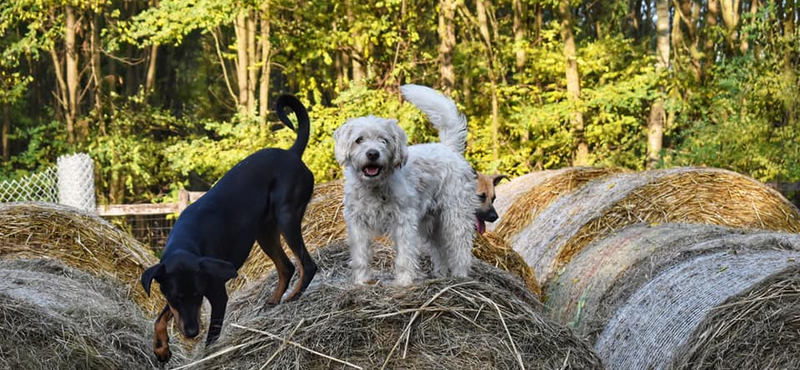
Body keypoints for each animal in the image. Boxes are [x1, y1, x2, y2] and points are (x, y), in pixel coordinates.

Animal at [142, 94, 318, 362]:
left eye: (197, 295)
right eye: (175, 297)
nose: (192, 332)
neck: (186, 241)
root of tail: (292, 154)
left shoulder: (217, 294)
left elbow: (212, 336)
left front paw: (205, 356)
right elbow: (160, 317)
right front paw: (161, 348)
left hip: (287, 218)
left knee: (307, 265)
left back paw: (293, 297)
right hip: (265, 231)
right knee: (286, 267)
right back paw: (273, 301)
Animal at [332, 84, 476, 286]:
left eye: (383, 140)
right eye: (359, 139)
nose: (373, 153)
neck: (375, 187)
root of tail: (449, 149)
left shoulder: (404, 222)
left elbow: (404, 257)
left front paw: (403, 283)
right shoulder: (358, 223)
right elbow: (361, 257)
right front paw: (361, 282)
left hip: (455, 216)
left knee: (460, 248)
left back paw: (460, 276)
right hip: (431, 224)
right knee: (440, 251)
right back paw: (441, 275)